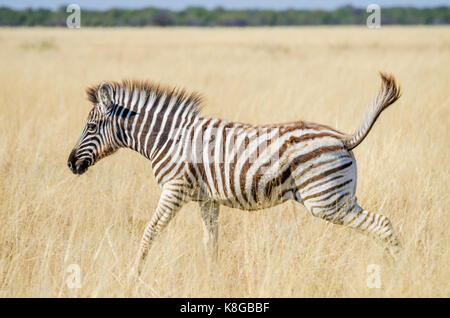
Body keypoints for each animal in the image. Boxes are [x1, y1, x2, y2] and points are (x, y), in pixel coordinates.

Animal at [68, 72, 402, 274]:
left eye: (91, 127)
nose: (70, 164)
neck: (169, 138)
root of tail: (344, 137)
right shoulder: (206, 198)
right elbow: (211, 241)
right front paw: (212, 277)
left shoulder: (175, 189)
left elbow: (150, 232)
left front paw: (133, 275)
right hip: (339, 197)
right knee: (382, 225)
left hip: (326, 201)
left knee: (382, 225)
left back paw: (394, 271)